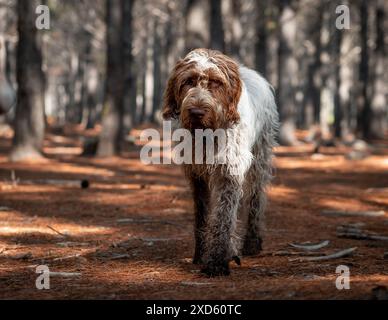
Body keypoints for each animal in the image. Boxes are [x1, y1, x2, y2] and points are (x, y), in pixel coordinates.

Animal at [161, 48, 278, 276]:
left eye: (216, 82)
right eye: (188, 81)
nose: (197, 112)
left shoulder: (229, 171)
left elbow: (223, 216)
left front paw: (217, 260)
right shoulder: (196, 175)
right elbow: (203, 215)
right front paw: (201, 255)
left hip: (260, 159)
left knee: (256, 199)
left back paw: (252, 242)